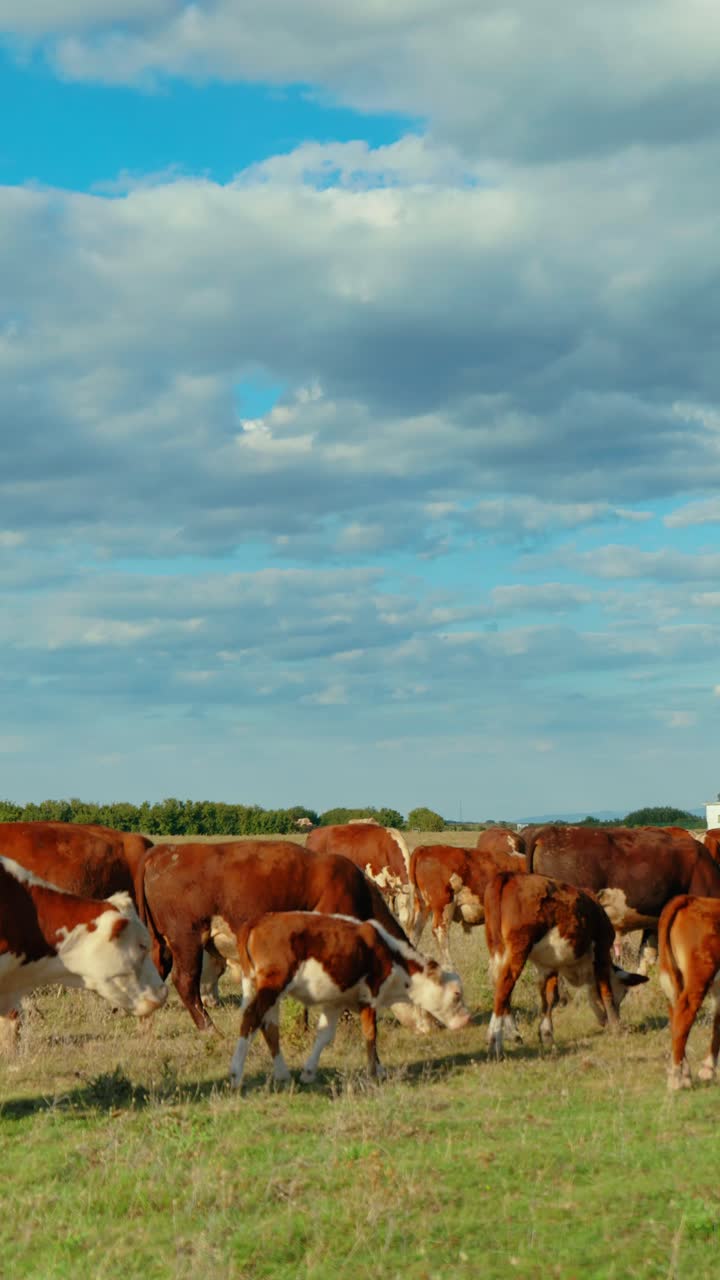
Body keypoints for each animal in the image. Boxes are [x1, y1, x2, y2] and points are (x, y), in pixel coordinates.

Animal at [138, 840, 413, 1034]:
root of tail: (161, 852)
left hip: (162, 943)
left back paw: (145, 1024)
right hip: (186, 938)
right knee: (185, 982)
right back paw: (210, 1030)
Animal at [228, 911, 470, 1088]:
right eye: (457, 994)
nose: (466, 1019)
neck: (392, 955)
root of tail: (258, 921)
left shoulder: (335, 1002)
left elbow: (324, 1035)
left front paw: (309, 1072)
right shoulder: (370, 996)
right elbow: (371, 1034)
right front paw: (374, 1072)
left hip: (262, 989)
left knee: (268, 1027)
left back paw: (282, 1073)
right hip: (272, 986)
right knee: (251, 1020)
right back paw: (236, 1075)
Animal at [484, 871, 647, 1060]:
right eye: (622, 994)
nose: (604, 1022)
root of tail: (509, 875)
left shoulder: (550, 965)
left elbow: (549, 998)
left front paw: (547, 1034)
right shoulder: (602, 950)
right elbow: (605, 990)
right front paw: (617, 1027)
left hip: (497, 949)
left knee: (499, 987)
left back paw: (510, 1034)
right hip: (519, 947)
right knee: (504, 986)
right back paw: (495, 1041)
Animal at [658, 894, 720, 1090]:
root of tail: (691, 899)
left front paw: (708, 1069)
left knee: (675, 1014)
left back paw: (685, 1074)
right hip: (699, 977)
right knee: (684, 1014)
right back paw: (676, 1079)